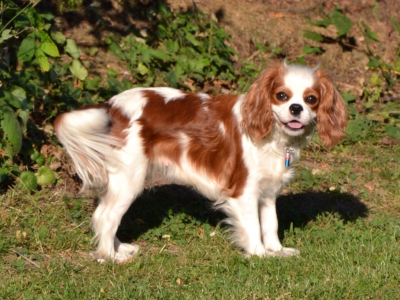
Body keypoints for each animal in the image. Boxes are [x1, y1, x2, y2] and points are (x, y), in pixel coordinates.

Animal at [54, 61, 346, 262]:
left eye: (311, 99)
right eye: (282, 96)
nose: (296, 108)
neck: (273, 134)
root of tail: (113, 106)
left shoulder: (268, 191)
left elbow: (270, 223)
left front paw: (277, 251)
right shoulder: (244, 191)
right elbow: (253, 226)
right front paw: (259, 255)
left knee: (105, 213)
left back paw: (118, 248)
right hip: (130, 178)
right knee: (105, 216)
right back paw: (110, 257)